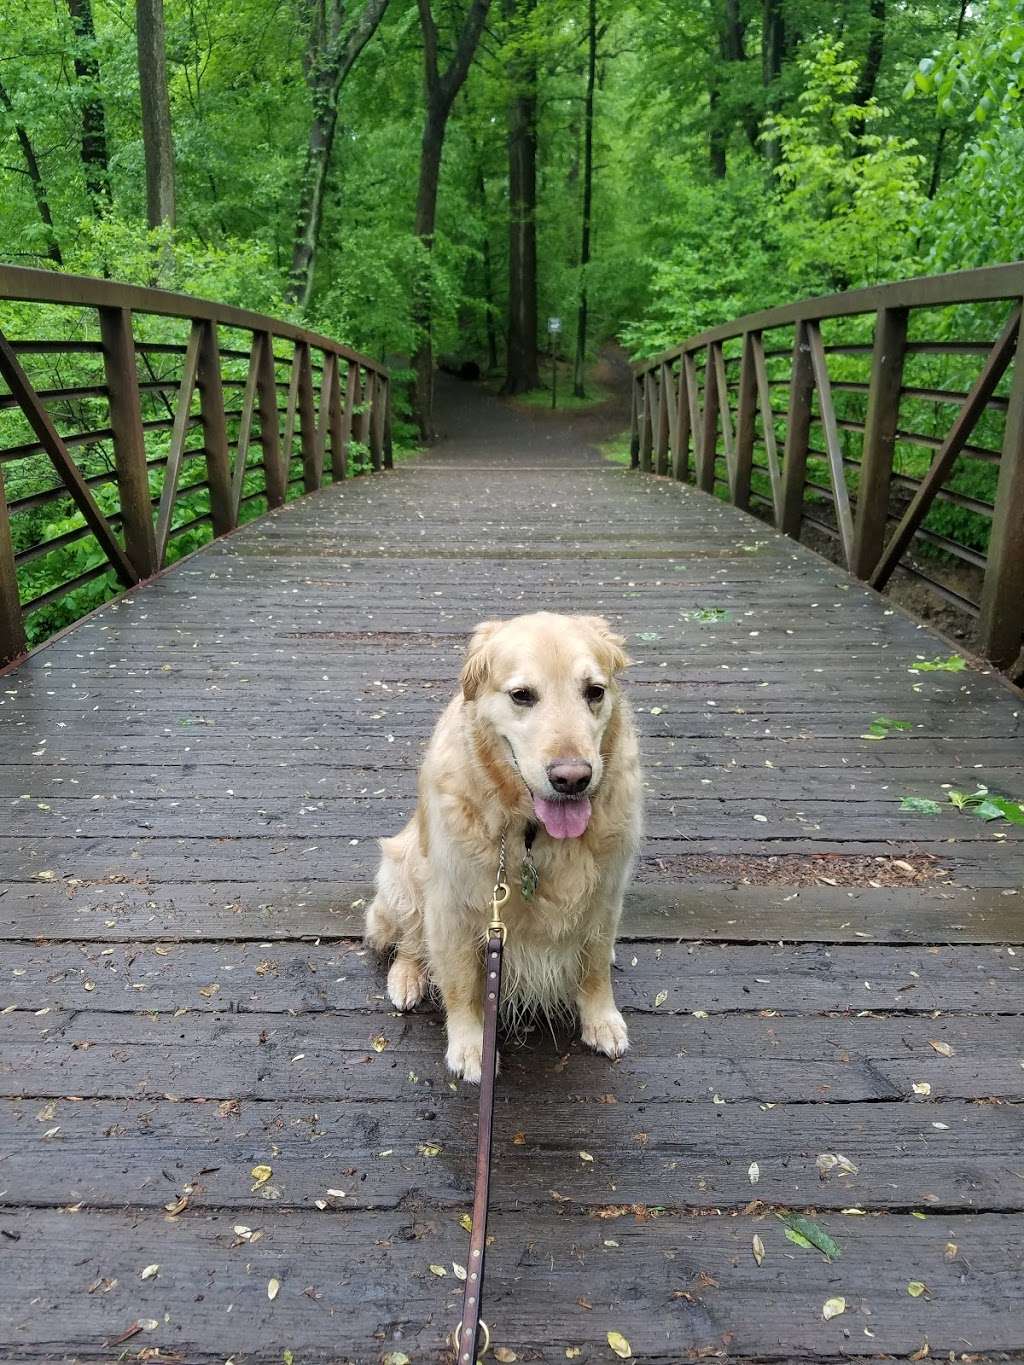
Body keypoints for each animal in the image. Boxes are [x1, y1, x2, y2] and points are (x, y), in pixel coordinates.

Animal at [365, 614, 641, 1081]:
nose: (573, 778)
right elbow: (460, 983)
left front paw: (602, 1021)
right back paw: (406, 978)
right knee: (409, 940)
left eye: (595, 691)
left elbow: (594, 966)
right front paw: (471, 1047)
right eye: (522, 695)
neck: (532, 833)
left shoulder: (606, 895)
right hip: (402, 869)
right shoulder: (452, 907)